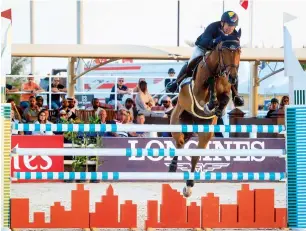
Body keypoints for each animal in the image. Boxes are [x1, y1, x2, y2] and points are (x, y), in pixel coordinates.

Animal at [167, 29, 241, 198]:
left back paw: (189, 185)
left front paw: (219, 109)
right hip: (177, 123)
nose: (233, 77)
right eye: (224, 50)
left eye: (239, 50)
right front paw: (211, 104)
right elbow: (208, 88)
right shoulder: (198, 92)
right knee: (179, 143)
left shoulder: (226, 90)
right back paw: (173, 167)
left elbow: (225, 98)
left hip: (204, 132)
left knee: (195, 154)